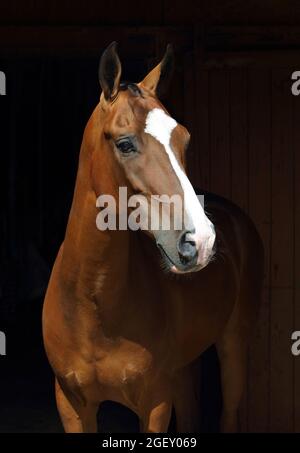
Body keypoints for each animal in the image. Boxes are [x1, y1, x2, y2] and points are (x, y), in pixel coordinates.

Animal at [41, 41, 262, 430]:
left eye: (184, 139)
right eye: (125, 144)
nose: (201, 242)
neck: (93, 305)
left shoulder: (156, 402)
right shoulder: (71, 405)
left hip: (233, 344)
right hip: (184, 369)